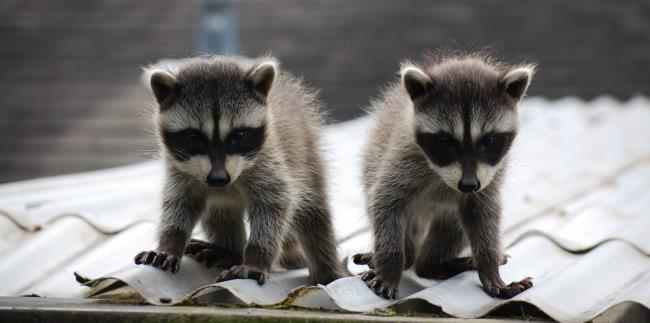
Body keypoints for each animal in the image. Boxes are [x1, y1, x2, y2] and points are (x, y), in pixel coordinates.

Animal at [133, 55, 344, 286]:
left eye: (239, 135)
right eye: (194, 137)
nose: (218, 179)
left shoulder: (270, 159)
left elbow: (274, 204)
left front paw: (257, 258)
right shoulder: (178, 168)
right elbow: (179, 202)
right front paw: (170, 243)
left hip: (307, 155)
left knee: (314, 215)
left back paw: (326, 268)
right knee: (219, 212)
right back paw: (230, 251)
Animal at [352, 52, 536, 298]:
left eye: (489, 140)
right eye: (444, 141)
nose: (468, 185)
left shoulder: (490, 176)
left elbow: (483, 213)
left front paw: (490, 269)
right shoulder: (403, 156)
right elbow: (386, 200)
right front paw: (390, 265)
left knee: (454, 224)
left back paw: (436, 264)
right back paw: (407, 257)